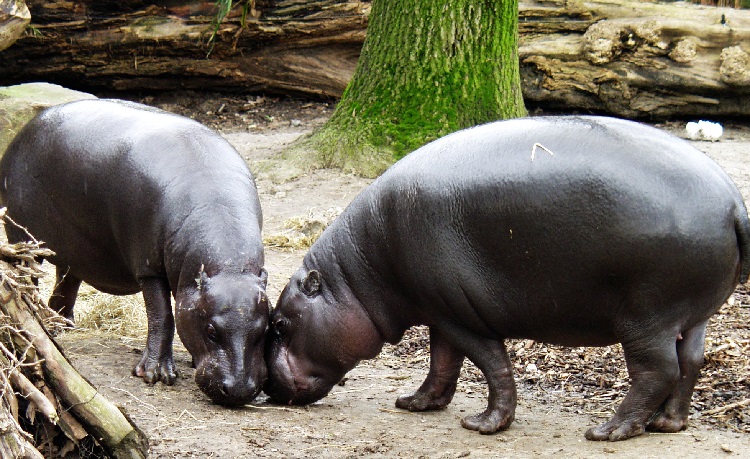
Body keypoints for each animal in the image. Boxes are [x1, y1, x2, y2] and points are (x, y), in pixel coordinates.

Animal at [0, 99, 270, 406]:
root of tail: (22, 133)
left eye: (266, 328)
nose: (239, 390)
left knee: (66, 282)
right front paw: (155, 375)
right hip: (23, 238)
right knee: (28, 280)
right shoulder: (149, 268)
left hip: (74, 250)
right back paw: (40, 323)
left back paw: (59, 326)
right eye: (212, 330)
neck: (229, 268)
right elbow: (162, 315)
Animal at [266, 116, 750, 442]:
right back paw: (667, 423)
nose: (267, 385)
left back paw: (609, 430)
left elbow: (491, 365)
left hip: (646, 317)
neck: (355, 278)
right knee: (691, 361)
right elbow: (442, 363)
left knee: (658, 369)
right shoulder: (440, 310)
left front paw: (482, 425)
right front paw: (416, 404)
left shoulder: (462, 316)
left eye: (280, 323)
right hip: (693, 314)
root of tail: (732, 201)